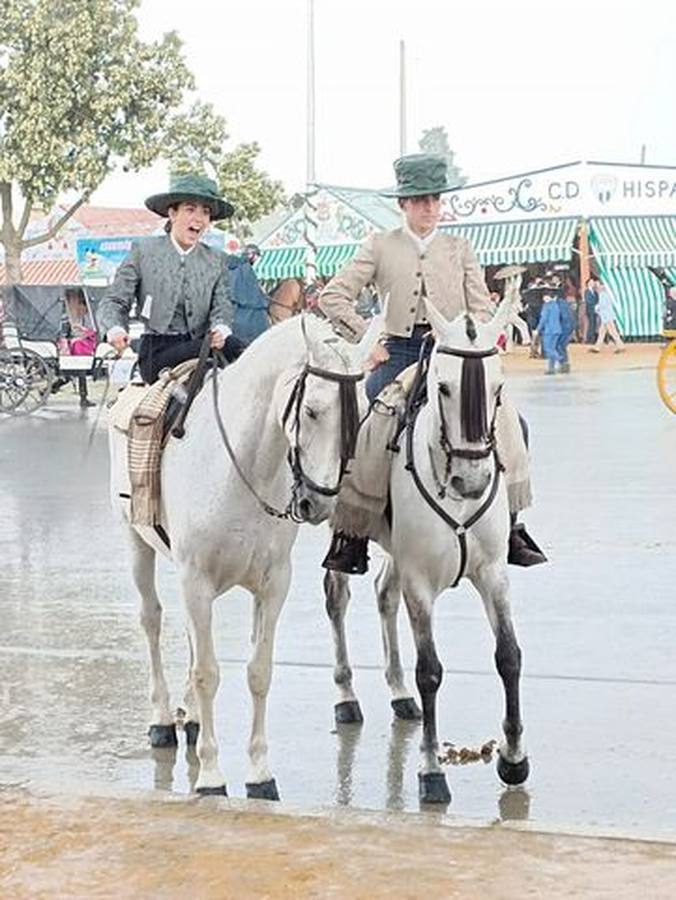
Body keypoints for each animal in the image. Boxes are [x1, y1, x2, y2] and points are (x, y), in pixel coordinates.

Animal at [109, 316, 370, 800]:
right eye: (311, 411)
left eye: (359, 414)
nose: (319, 503)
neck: (241, 467)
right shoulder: (195, 580)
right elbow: (208, 673)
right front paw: (211, 776)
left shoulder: (272, 584)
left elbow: (257, 672)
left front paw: (260, 773)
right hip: (135, 542)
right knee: (152, 621)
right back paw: (162, 720)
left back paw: (192, 718)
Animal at [324, 298, 532, 804]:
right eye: (444, 387)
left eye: (497, 387)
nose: (472, 481)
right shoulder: (420, 579)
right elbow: (431, 670)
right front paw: (431, 770)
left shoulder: (493, 572)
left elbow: (509, 656)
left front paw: (514, 758)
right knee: (338, 599)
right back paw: (346, 697)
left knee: (384, 594)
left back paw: (400, 696)